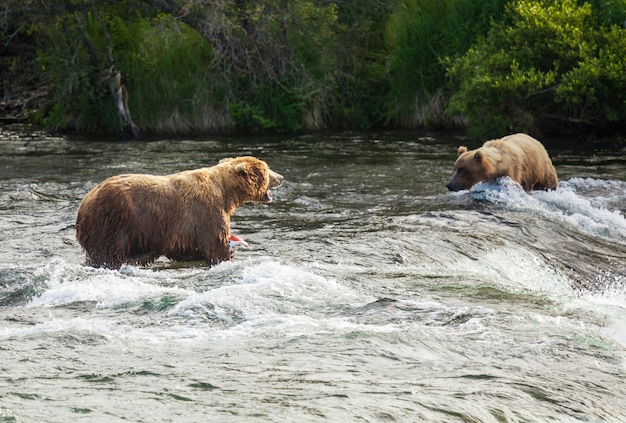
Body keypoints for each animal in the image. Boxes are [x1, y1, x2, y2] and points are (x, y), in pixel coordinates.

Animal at [75, 157, 282, 270]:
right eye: (267, 169)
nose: (280, 177)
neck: (226, 193)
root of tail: (85, 202)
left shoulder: (184, 230)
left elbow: (188, 250)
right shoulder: (207, 213)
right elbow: (216, 245)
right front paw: (228, 255)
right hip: (111, 223)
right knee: (107, 255)